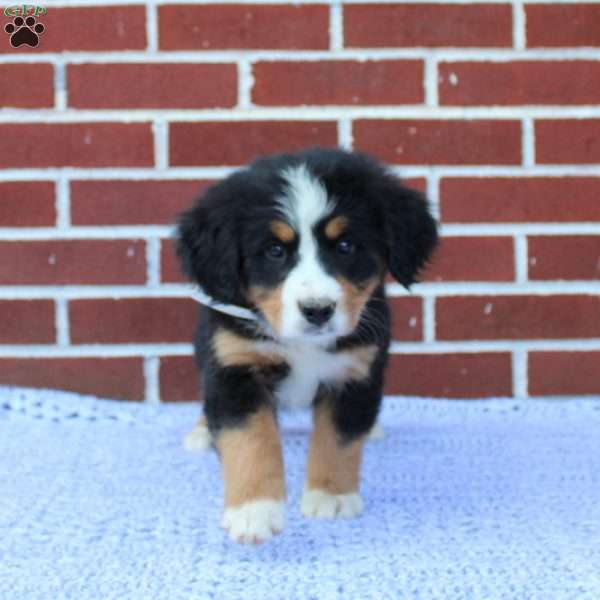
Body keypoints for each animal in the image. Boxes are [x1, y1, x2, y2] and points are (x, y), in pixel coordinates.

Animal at [176, 146, 438, 544]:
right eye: (274, 251)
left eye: (345, 246)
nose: (318, 310)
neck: (302, 345)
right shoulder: (235, 367)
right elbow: (249, 440)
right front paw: (253, 511)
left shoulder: (354, 372)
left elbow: (339, 440)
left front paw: (331, 496)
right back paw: (203, 432)